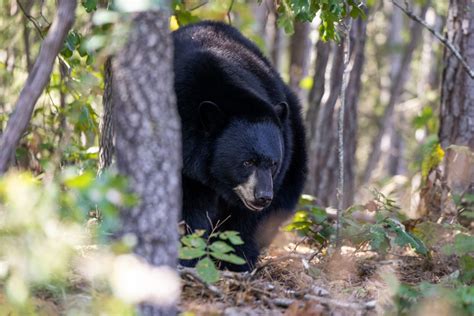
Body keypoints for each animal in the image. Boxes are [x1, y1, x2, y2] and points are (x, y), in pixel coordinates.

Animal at [174, 21, 308, 270]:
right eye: (247, 162)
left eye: (273, 163)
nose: (263, 196)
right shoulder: (186, 167)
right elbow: (188, 209)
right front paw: (188, 257)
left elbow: (248, 224)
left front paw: (237, 261)